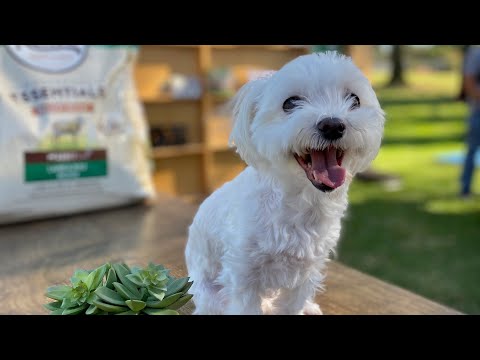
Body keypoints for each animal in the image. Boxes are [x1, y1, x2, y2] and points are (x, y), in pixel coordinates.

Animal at [185, 51, 386, 316]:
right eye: (290, 103)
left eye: (354, 99)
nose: (333, 125)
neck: (302, 203)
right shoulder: (243, 270)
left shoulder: (307, 268)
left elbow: (293, 302)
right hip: (212, 295)